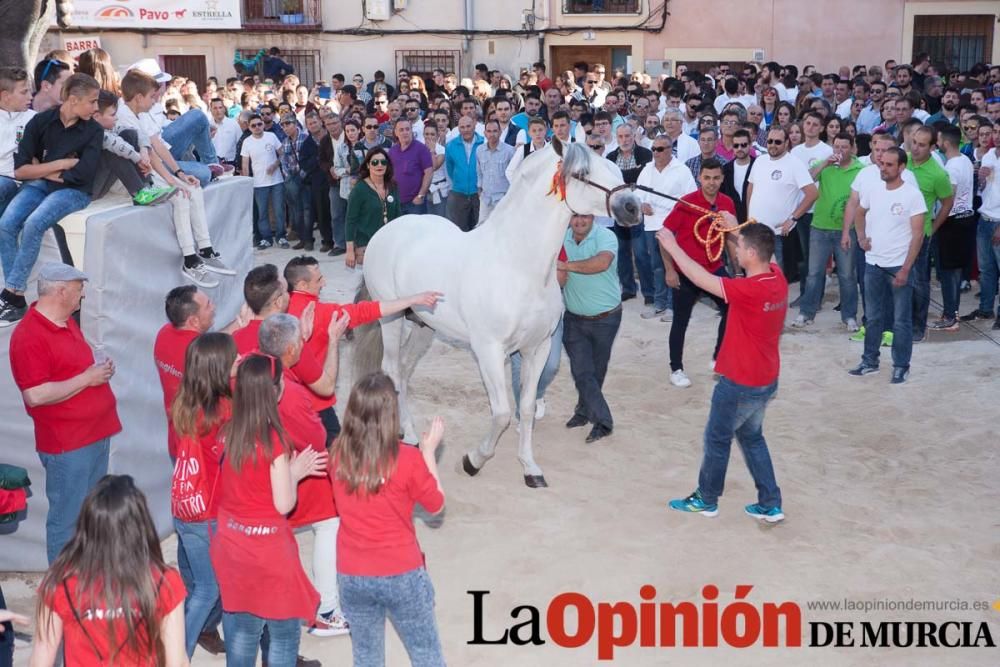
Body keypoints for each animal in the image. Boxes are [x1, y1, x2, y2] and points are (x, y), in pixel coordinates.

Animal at [356, 138, 644, 488]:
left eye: (615, 167)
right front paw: (472, 461)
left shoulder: (538, 348)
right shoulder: (489, 350)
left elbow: (527, 408)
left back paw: (406, 430)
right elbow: (503, 413)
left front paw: (530, 468)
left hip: (424, 326)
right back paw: (409, 434)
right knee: (392, 370)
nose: (632, 208)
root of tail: (387, 230)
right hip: (392, 319)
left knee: (404, 370)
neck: (516, 264)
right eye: (582, 173)